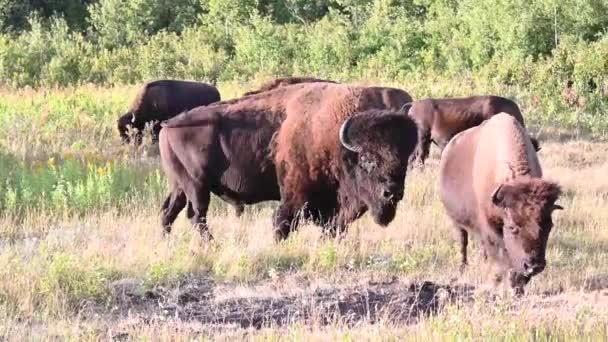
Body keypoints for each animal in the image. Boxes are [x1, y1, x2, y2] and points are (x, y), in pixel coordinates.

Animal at [440, 113, 564, 294]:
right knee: (463, 241)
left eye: (549, 226)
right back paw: (462, 268)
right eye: (512, 227)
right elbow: (503, 254)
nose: (534, 266)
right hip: (456, 221)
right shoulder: (489, 226)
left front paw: (518, 285)